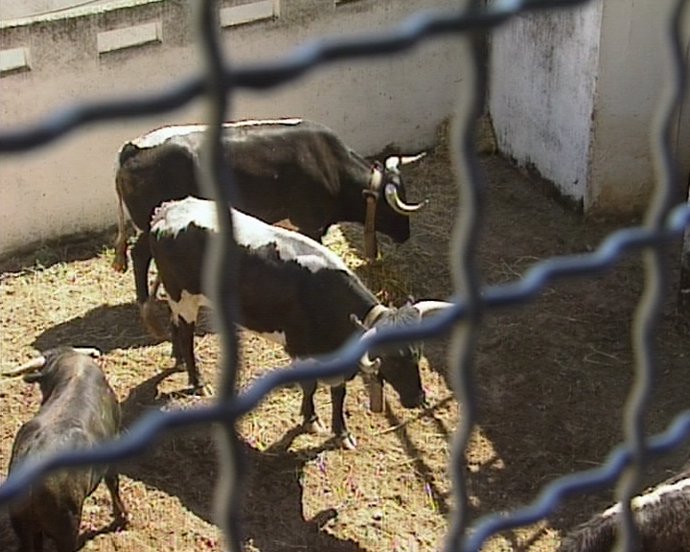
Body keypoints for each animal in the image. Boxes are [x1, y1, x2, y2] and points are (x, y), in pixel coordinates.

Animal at [112, 117, 424, 312]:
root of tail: (132, 148)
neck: (328, 165)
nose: (407, 233)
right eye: (391, 206)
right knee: (139, 255)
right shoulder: (310, 224)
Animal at [146, 196, 452, 446]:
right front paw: (311, 419)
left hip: (180, 298)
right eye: (391, 360)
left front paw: (341, 433)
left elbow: (338, 393)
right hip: (183, 296)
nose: (418, 399)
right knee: (186, 335)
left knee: (176, 327)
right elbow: (311, 386)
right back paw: (197, 381)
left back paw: (178, 361)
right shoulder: (300, 351)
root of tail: (169, 210)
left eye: (417, 354)